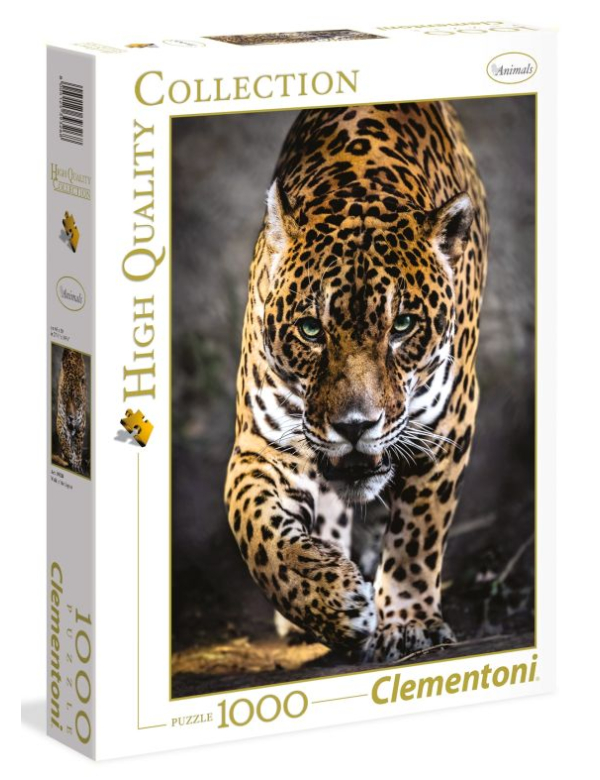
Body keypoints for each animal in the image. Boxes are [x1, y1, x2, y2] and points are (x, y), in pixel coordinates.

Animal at [225, 102, 488, 662]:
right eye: (310, 329)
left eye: (403, 325)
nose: (354, 426)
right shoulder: (263, 444)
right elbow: (255, 530)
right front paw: (332, 601)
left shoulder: (447, 425)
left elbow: (417, 532)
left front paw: (407, 622)